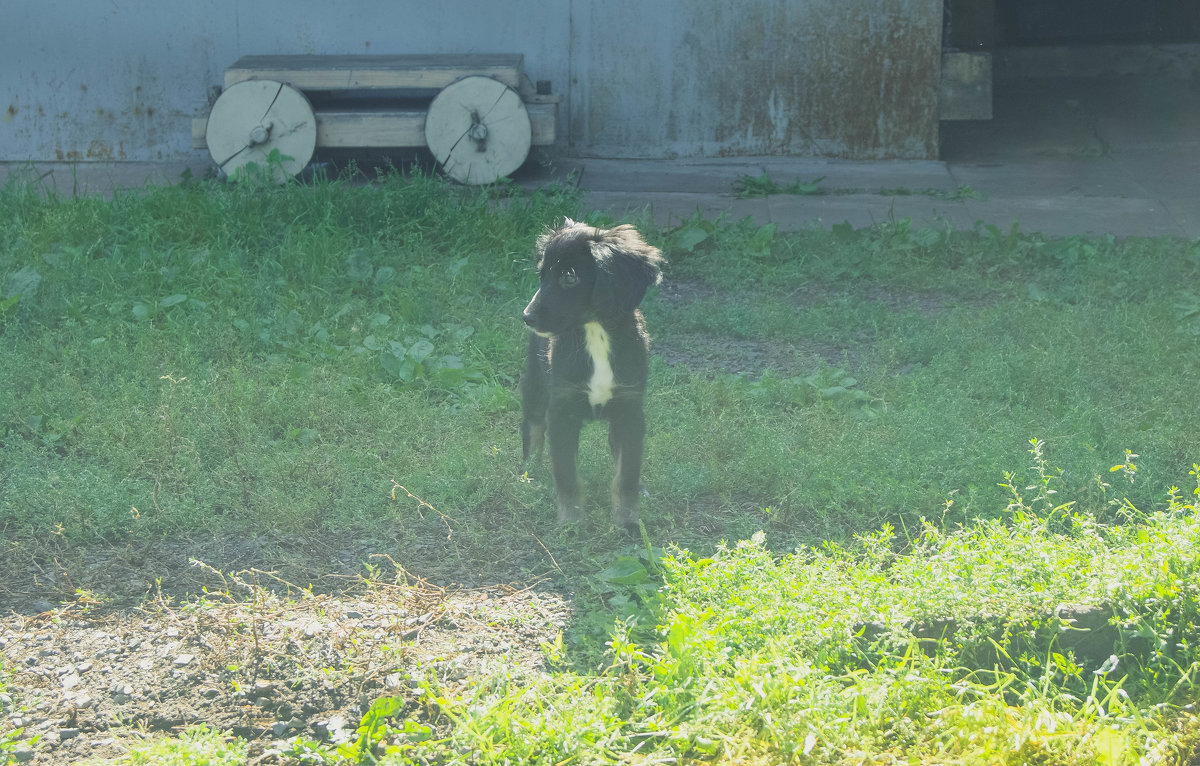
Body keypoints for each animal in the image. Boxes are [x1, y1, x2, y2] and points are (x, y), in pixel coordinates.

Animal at [518, 218, 667, 537]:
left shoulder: (629, 409)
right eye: (541, 275)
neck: (595, 332)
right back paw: (529, 475)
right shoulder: (561, 409)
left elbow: (626, 474)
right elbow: (566, 474)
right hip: (535, 387)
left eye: (569, 277)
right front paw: (572, 523)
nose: (527, 317)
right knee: (532, 430)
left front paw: (626, 521)